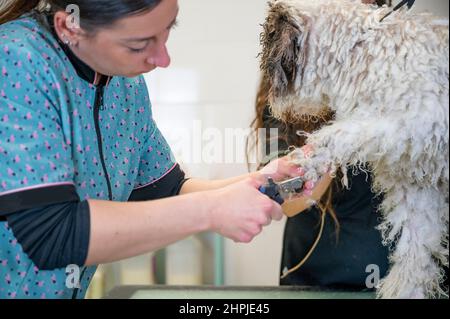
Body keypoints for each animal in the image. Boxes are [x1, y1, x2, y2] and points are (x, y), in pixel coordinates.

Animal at [262, 0, 448, 300]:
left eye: (269, 43)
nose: (270, 100)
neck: (361, 53)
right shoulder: (417, 181)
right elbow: (416, 241)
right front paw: (406, 289)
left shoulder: (416, 121)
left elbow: (344, 134)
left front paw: (313, 158)